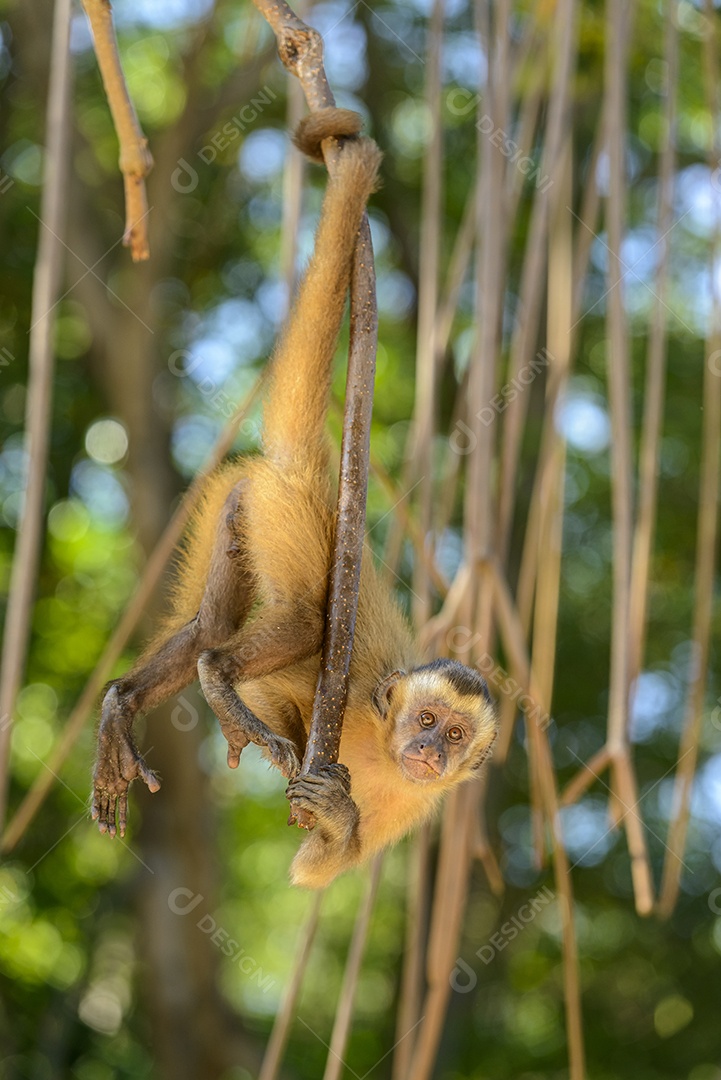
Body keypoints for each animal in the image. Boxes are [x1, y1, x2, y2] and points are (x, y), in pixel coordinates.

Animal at [91, 107, 498, 889]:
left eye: (456, 732)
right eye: (425, 721)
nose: (430, 751)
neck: (383, 744)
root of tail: (310, 470)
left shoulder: (420, 802)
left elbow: (316, 870)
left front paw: (335, 818)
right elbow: (278, 698)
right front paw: (270, 736)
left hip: (240, 496)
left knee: (209, 622)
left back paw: (124, 703)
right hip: (294, 523)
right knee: (298, 623)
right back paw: (216, 679)